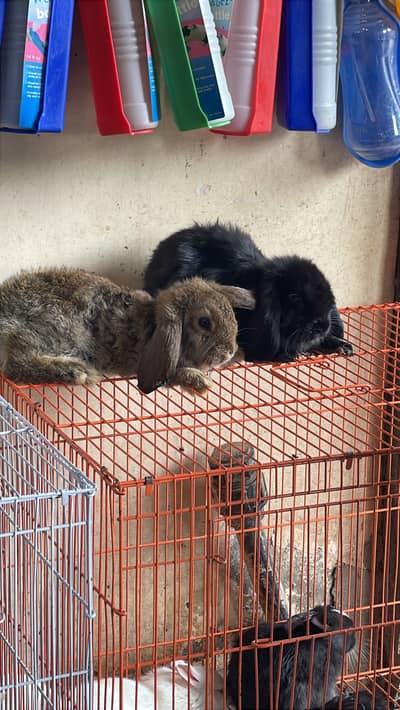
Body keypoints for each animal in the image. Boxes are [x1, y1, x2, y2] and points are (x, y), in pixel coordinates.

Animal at [0, 268, 255, 394]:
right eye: (204, 322)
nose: (229, 352)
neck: (152, 325)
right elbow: (173, 374)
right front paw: (200, 382)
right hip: (55, 331)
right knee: (15, 364)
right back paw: (76, 371)